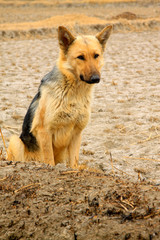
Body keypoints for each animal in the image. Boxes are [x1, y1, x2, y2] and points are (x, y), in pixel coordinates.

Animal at [7, 23, 112, 167]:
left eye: (96, 55)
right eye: (80, 57)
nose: (96, 78)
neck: (74, 93)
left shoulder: (76, 133)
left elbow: (74, 162)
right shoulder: (44, 131)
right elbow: (49, 161)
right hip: (15, 141)